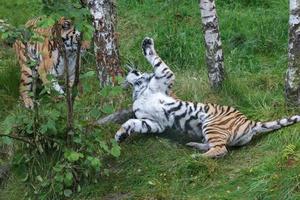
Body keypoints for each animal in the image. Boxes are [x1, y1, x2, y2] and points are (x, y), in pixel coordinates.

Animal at [113, 37, 300, 158]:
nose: (133, 69)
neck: (140, 90)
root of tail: (250, 122)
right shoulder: (154, 122)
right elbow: (131, 122)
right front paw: (120, 135)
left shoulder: (165, 75)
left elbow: (156, 60)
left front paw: (146, 43)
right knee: (218, 147)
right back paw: (194, 147)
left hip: (211, 123)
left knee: (221, 150)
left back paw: (195, 157)